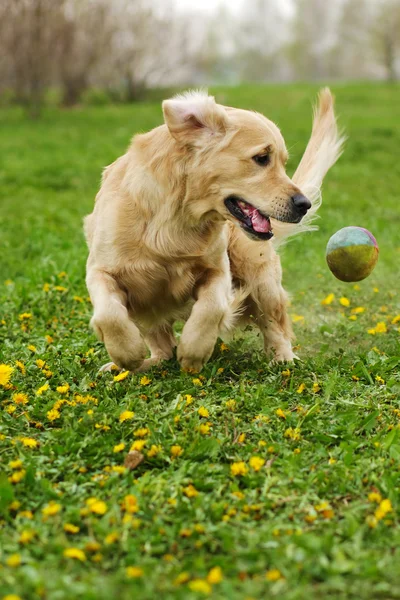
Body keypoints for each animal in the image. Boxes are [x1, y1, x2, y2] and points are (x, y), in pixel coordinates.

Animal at [84, 89, 344, 372]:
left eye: (284, 163)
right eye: (262, 158)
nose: (303, 204)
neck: (176, 217)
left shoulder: (218, 269)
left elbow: (212, 308)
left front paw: (193, 352)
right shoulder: (100, 269)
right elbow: (109, 314)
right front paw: (127, 354)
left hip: (259, 274)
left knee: (275, 324)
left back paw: (284, 359)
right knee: (163, 348)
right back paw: (132, 366)